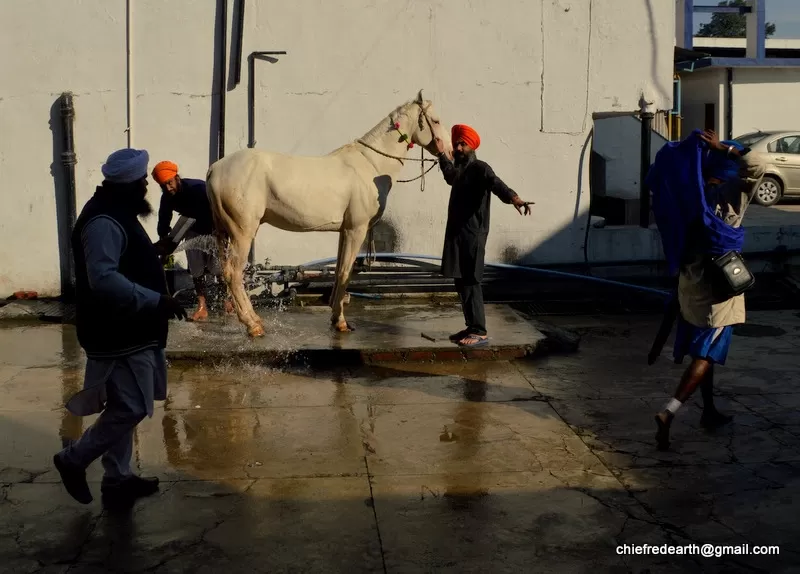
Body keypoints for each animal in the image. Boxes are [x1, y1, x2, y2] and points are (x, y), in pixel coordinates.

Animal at [206, 90, 450, 338]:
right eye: (436, 120)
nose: (448, 152)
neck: (370, 165)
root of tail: (215, 168)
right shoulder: (356, 229)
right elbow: (344, 273)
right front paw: (341, 321)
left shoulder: (344, 230)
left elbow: (340, 270)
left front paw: (335, 317)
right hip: (242, 233)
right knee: (234, 274)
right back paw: (253, 325)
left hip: (226, 233)